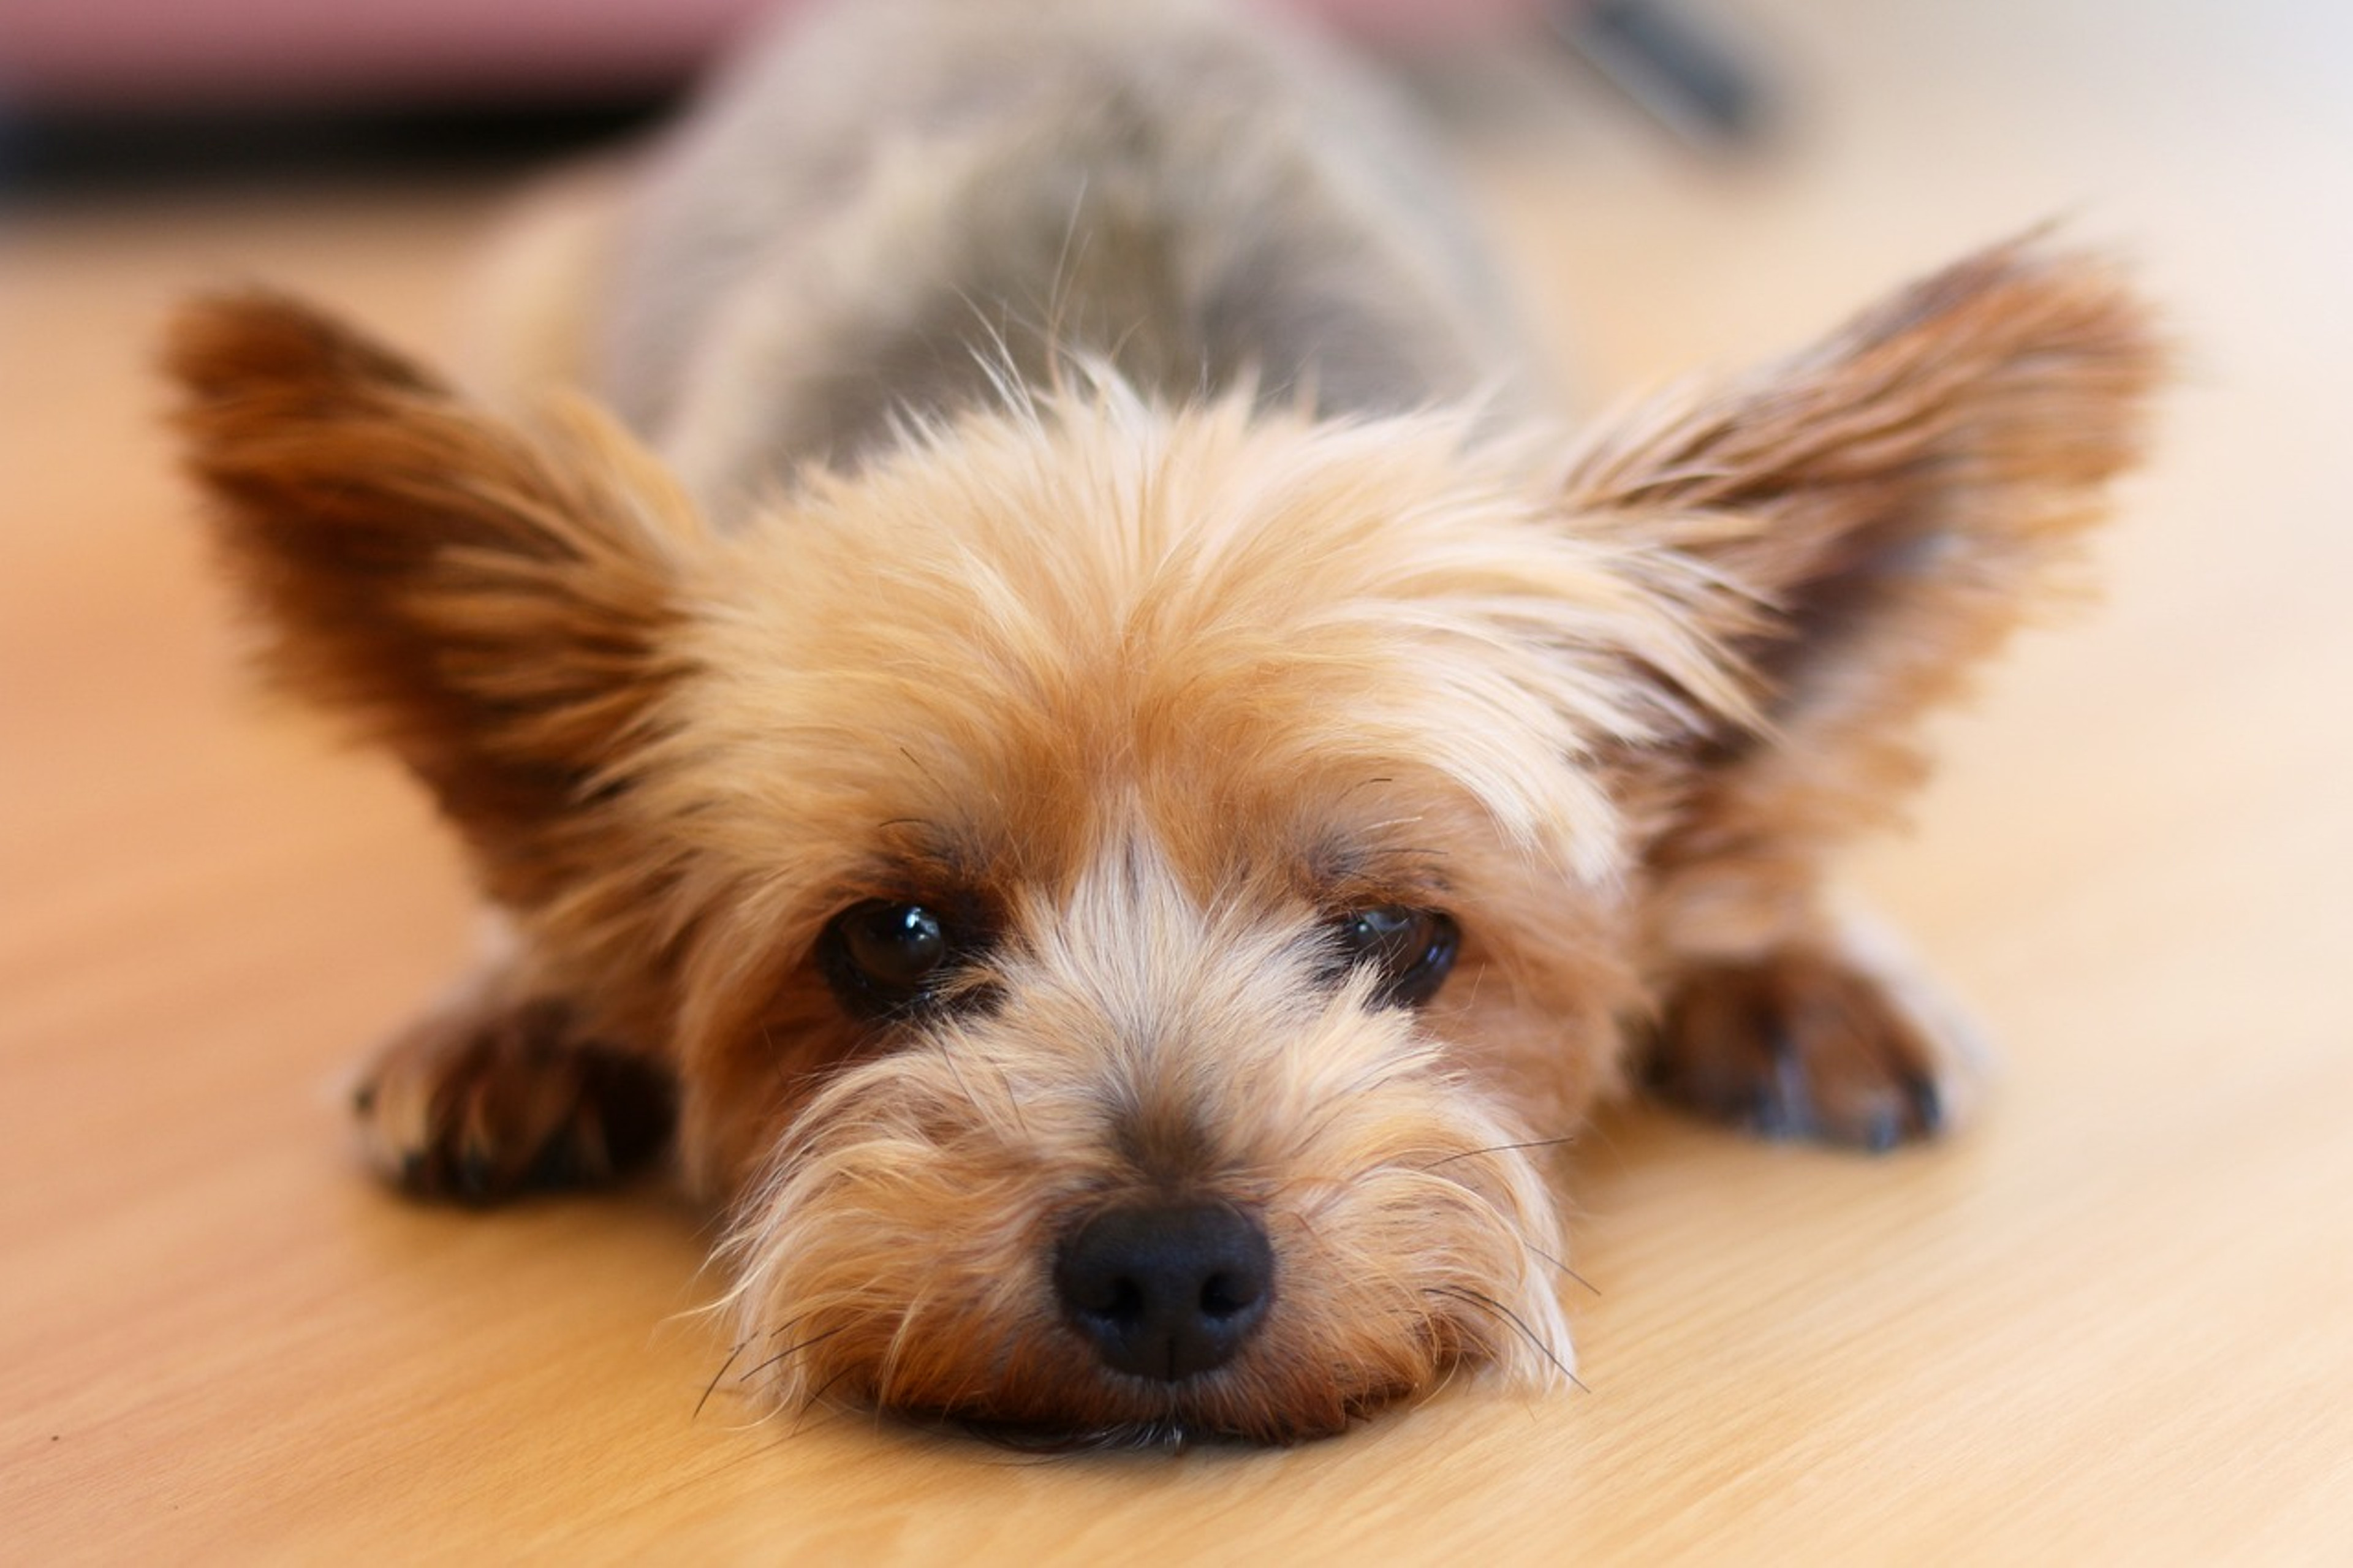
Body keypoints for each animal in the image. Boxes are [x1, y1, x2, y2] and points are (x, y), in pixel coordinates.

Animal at [161, 0, 2155, 1441]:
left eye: (1399, 937)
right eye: (893, 939)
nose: (1170, 1267)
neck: (1117, 354)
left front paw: (1802, 950)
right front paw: (518, 1002)